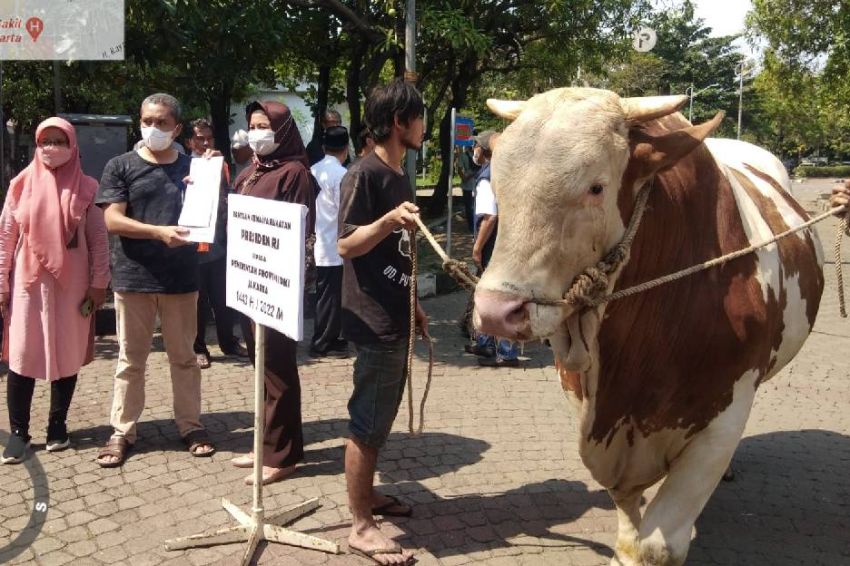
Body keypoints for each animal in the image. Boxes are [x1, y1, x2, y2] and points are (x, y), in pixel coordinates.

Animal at [470, 86, 820, 564]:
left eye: (596, 187)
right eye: (499, 187)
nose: (495, 311)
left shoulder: (722, 418)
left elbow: (656, 546)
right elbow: (626, 518)